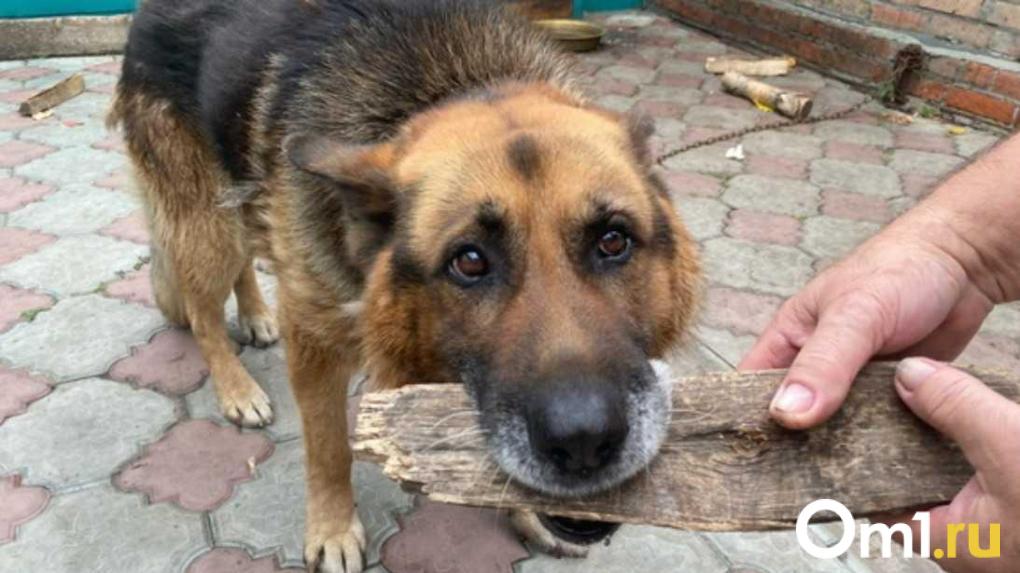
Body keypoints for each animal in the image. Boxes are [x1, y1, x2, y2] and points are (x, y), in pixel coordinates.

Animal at [110, 0, 700, 570]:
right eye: (469, 262)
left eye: (613, 241)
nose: (584, 441)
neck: (457, 80)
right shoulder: (315, 339)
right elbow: (329, 447)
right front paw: (333, 529)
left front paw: (525, 514)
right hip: (210, 228)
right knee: (203, 311)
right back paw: (236, 387)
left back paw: (256, 316)